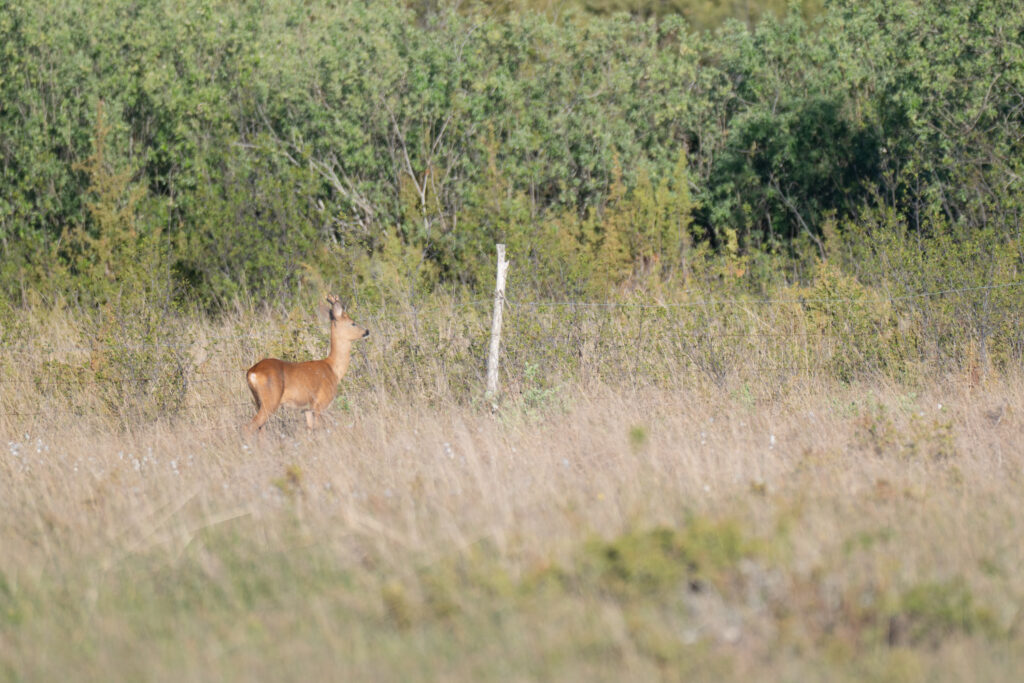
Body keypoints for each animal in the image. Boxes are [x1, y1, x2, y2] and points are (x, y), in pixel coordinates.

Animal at [245, 295, 369, 432]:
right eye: (353, 323)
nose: (367, 331)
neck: (333, 369)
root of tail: (252, 372)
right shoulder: (319, 404)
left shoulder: (307, 409)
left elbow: (310, 430)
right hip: (270, 400)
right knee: (249, 426)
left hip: (258, 401)